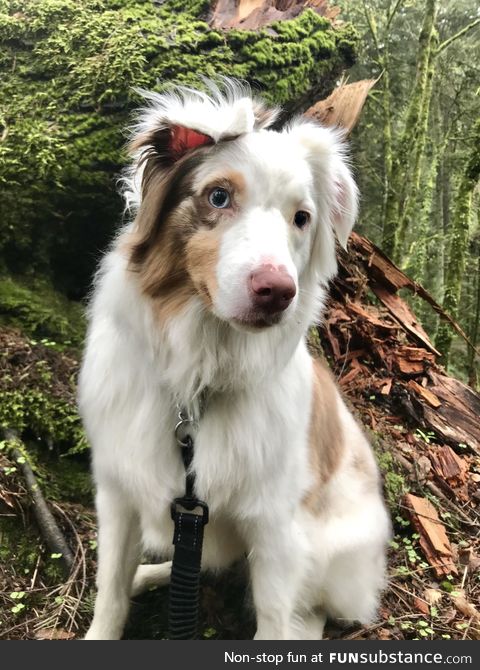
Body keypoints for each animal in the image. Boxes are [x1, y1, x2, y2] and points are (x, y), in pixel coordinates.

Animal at [79, 81, 390, 644]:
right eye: (219, 196)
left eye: (301, 218)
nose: (278, 293)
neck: (200, 368)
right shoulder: (119, 489)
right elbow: (110, 587)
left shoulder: (275, 528)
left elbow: (273, 618)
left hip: (324, 550)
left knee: (307, 611)